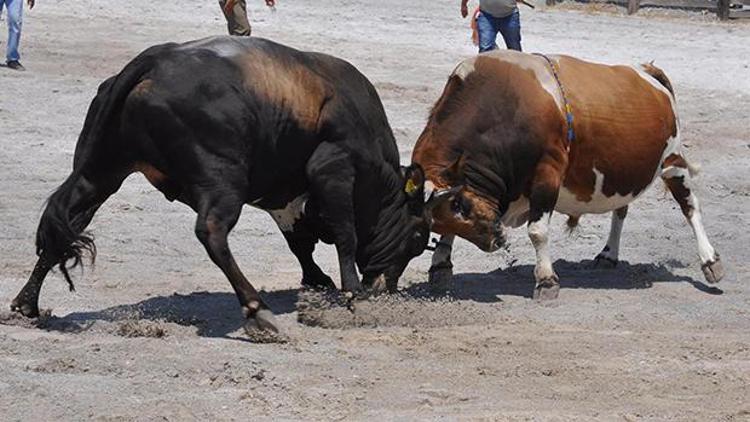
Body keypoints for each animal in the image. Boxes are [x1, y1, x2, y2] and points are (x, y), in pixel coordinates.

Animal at [11, 37, 446, 332]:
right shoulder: (333, 169)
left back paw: (25, 304)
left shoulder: (284, 197)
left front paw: (317, 280)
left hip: (100, 170)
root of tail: (158, 58)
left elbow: (299, 243)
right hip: (222, 180)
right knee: (212, 232)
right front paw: (353, 293)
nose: (386, 288)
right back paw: (257, 310)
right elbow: (345, 234)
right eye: (418, 238)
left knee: (66, 222)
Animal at [414, 49, 724, 300]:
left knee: (689, 206)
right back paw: (608, 254)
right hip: (622, 170)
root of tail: (646, 70)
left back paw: (709, 260)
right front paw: (440, 264)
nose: (494, 241)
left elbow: (537, 232)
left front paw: (546, 280)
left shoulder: (547, 176)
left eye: (461, 205)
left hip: (673, 163)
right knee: (621, 210)